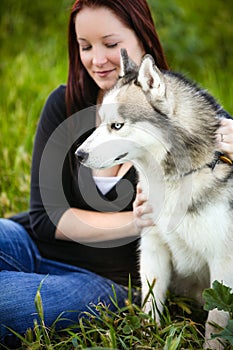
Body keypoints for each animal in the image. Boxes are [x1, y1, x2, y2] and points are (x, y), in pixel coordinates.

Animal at [76, 48, 233, 348]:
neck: (177, 179)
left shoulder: (223, 262)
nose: (79, 154)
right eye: (101, 122)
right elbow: (151, 305)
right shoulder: (153, 248)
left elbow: (216, 322)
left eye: (117, 125)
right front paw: (148, 337)